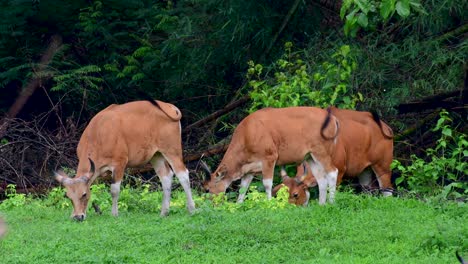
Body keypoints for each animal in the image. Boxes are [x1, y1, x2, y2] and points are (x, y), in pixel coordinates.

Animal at [54, 100, 196, 220]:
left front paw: (114, 214)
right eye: (69, 197)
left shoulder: (119, 163)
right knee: (166, 177)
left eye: (83, 194)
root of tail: (170, 107)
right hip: (156, 155)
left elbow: (114, 190)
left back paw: (192, 209)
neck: (98, 135)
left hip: (172, 150)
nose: (78, 217)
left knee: (183, 174)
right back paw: (164, 212)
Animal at [201, 106, 340, 205]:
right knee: (321, 179)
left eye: (207, 189)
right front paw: (238, 205)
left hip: (322, 152)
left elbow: (267, 183)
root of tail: (332, 118)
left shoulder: (269, 158)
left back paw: (331, 202)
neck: (248, 134)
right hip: (311, 156)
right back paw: (321, 204)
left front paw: (268, 203)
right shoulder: (249, 169)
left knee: (332, 172)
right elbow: (243, 187)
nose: (211, 205)